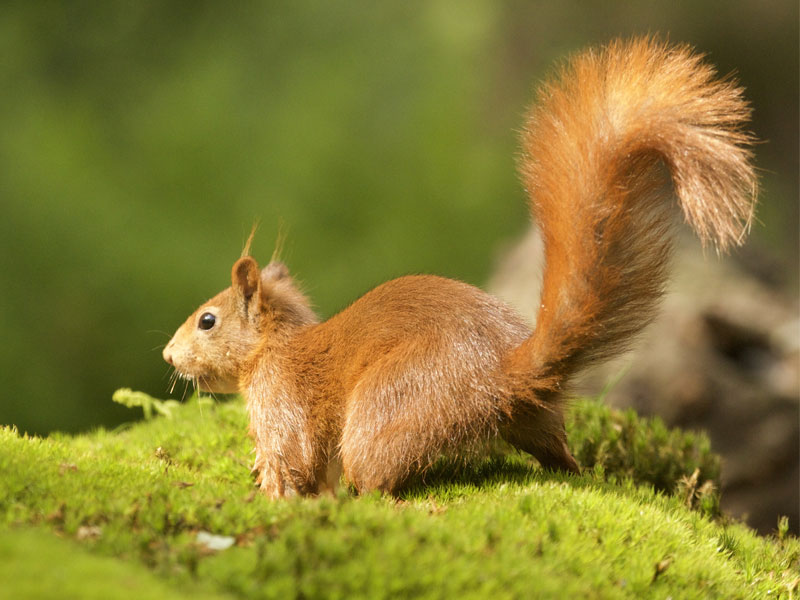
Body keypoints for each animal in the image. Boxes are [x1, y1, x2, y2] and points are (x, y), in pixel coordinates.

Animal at [163, 37, 757, 498]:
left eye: (207, 320)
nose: (167, 355)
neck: (275, 347)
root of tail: (501, 374)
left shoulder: (282, 399)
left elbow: (293, 457)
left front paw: (270, 490)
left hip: (390, 407)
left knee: (376, 476)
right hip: (533, 420)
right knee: (559, 454)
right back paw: (576, 471)